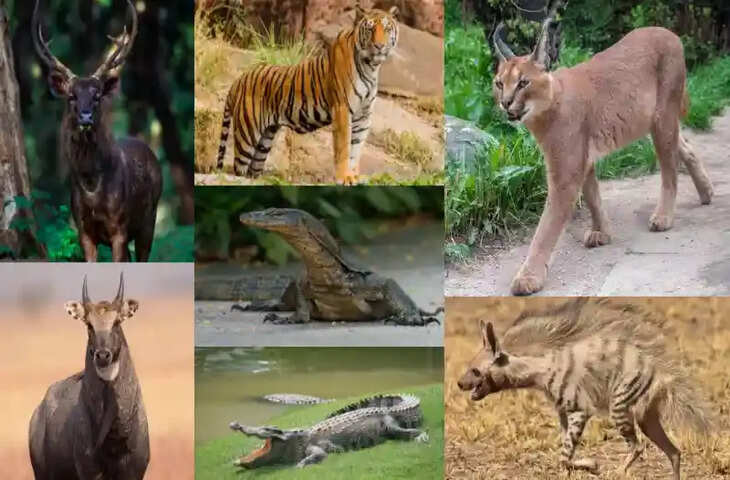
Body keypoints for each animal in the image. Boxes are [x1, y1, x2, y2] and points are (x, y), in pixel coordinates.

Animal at [216, 5, 399, 184]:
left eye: (387, 28)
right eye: (370, 29)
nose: (379, 46)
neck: (372, 67)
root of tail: (239, 79)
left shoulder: (364, 115)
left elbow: (356, 148)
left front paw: (353, 177)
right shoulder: (342, 109)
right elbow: (344, 148)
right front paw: (343, 177)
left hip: (265, 140)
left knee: (252, 171)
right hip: (247, 136)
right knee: (238, 168)